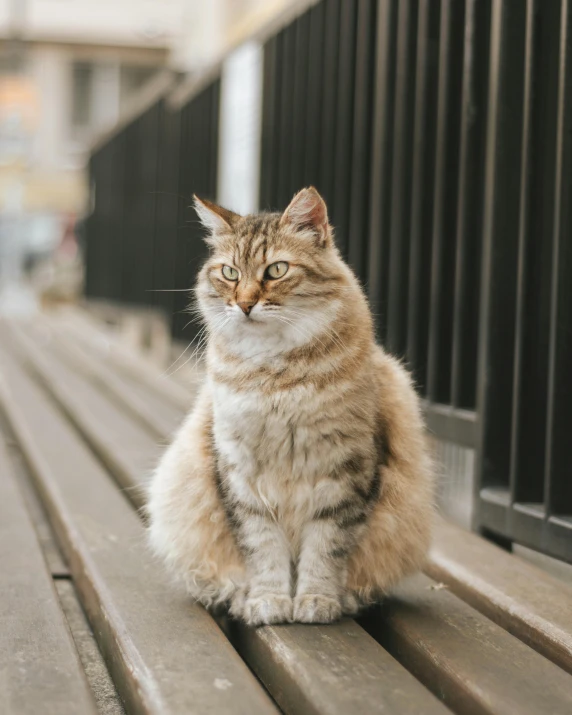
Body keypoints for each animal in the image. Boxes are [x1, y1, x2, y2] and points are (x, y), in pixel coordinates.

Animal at [147, 187, 434, 624]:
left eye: (276, 270)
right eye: (230, 273)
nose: (245, 304)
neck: (276, 377)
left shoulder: (345, 475)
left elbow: (325, 551)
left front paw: (317, 601)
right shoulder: (242, 477)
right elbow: (264, 552)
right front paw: (269, 601)